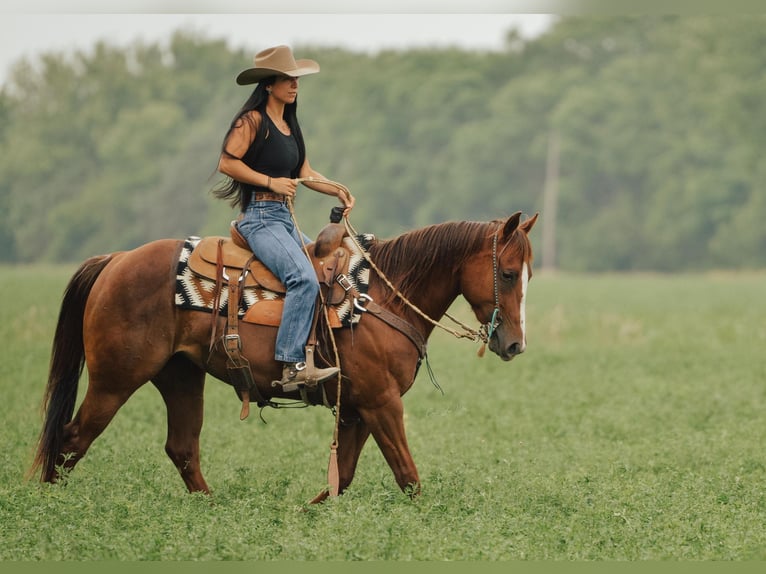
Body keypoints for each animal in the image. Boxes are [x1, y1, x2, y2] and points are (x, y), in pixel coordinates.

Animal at [30, 210, 540, 504]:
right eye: (509, 273)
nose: (515, 344)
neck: (381, 296)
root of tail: (115, 260)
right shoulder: (382, 403)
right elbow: (407, 476)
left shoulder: (357, 408)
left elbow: (343, 476)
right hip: (115, 379)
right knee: (72, 439)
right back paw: (48, 510)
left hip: (180, 376)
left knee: (181, 448)